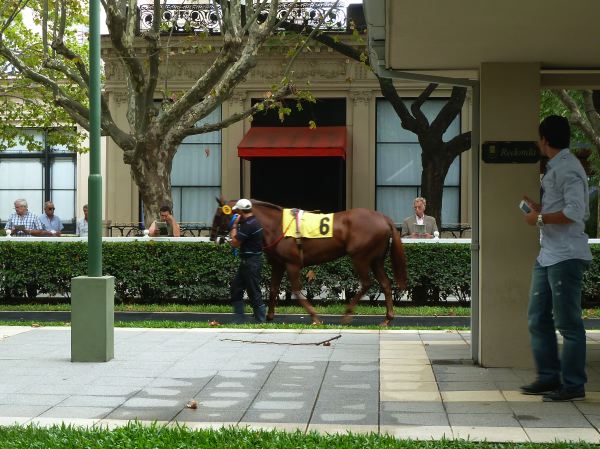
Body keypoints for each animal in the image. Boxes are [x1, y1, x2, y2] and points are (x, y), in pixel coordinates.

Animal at [210, 200, 408, 326]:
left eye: (219, 214)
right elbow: (273, 289)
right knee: (385, 284)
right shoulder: (278, 264)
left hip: (360, 257)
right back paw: (387, 318)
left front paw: (314, 316)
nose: (213, 237)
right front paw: (269, 315)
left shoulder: (292, 264)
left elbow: (297, 291)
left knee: (367, 283)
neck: (277, 225)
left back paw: (346, 315)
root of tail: (384, 219)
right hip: (376, 260)